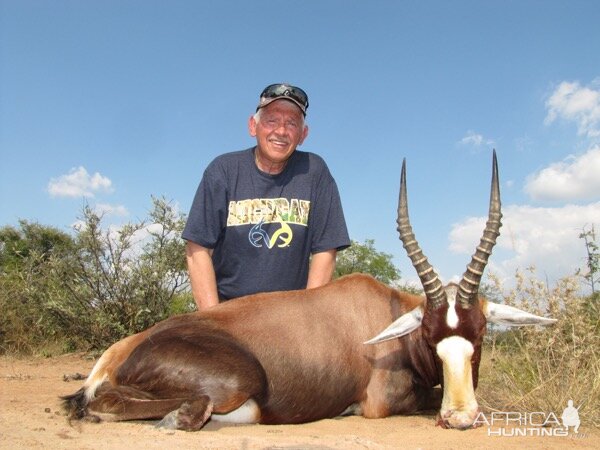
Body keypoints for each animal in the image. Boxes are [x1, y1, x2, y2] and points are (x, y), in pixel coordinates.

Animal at [61, 153, 552, 430]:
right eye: (431, 337)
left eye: (480, 335)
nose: (460, 418)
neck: (382, 311)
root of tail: (120, 353)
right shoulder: (382, 403)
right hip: (238, 381)